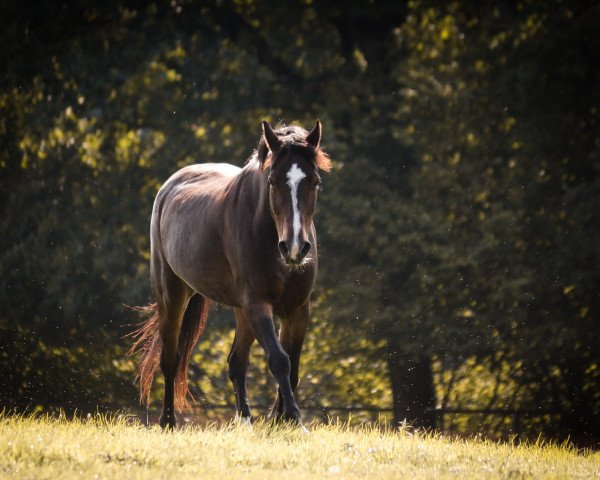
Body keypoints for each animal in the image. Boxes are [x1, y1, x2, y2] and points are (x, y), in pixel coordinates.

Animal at [127, 119, 332, 428]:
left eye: (315, 182)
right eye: (272, 181)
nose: (295, 247)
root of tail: (169, 187)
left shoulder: (297, 310)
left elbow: (293, 367)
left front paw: (280, 420)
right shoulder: (258, 304)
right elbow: (279, 360)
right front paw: (294, 418)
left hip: (241, 310)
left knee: (236, 361)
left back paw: (245, 420)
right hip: (172, 295)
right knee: (170, 359)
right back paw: (168, 421)